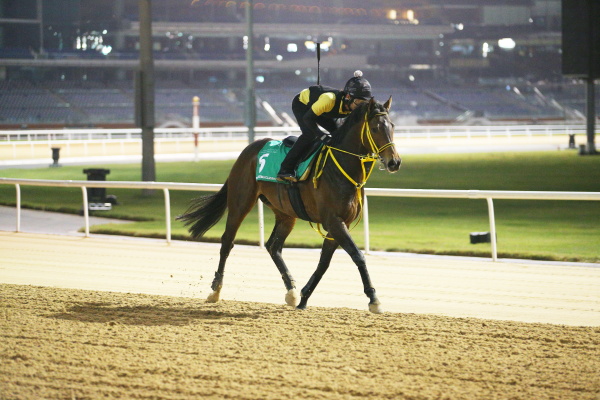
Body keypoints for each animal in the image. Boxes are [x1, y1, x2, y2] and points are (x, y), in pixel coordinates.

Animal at [178, 96, 404, 312]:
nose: (394, 162)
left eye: (392, 125)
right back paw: (215, 290)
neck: (340, 167)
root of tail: (249, 149)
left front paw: (303, 298)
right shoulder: (334, 221)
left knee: (273, 246)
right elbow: (358, 255)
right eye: (375, 128)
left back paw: (291, 291)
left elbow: (324, 262)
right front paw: (374, 299)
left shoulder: (340, 223)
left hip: (285, 212)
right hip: (240, 201)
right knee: (227, 241)